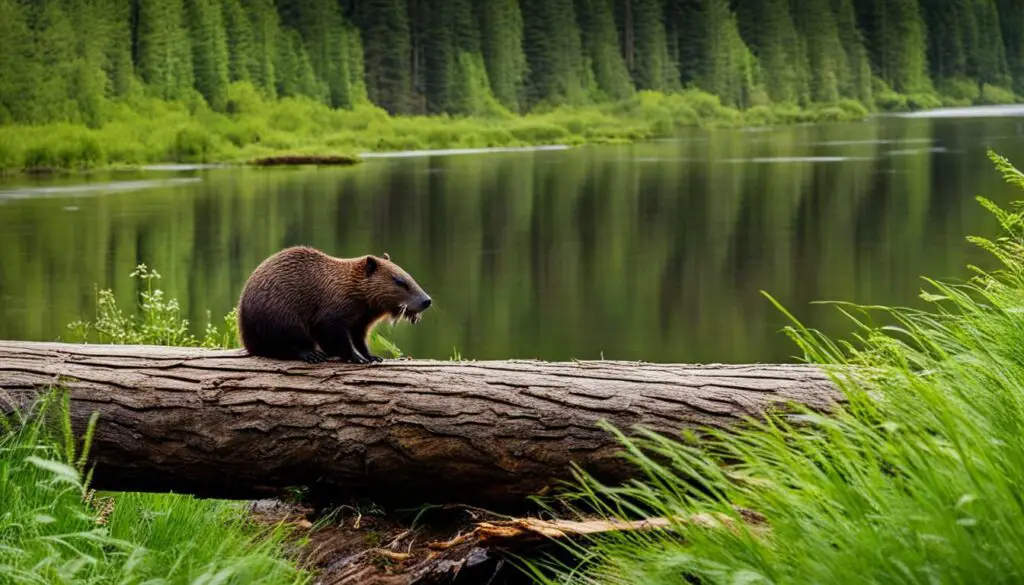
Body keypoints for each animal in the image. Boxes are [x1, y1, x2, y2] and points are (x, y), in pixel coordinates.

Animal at [237, 246, 430, 366]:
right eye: (399, 281)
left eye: (408, 276)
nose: (426, 300)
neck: (349, 286)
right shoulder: (333, 312)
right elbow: (333, 334)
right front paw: (357, 358)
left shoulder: (361, 320)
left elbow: (359, 338)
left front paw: (371, 356)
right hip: (280, 318)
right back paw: (312, 354)